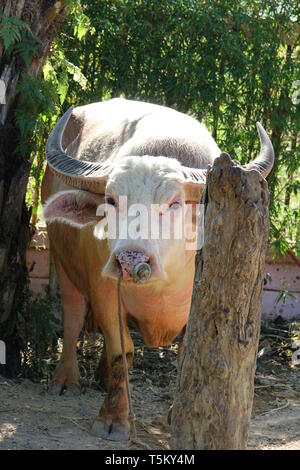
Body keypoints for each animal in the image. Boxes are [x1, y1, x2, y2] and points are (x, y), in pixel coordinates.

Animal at [42, 99, 274, 440]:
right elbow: (121, 351)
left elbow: (186, 355)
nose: (129, 260)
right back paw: (65, 378)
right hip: (61, 260)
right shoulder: (105, 292)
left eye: (174, 202)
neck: (162, 285)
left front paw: (179, 411)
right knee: (72, 315)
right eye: (111, 199)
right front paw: (113, 418)